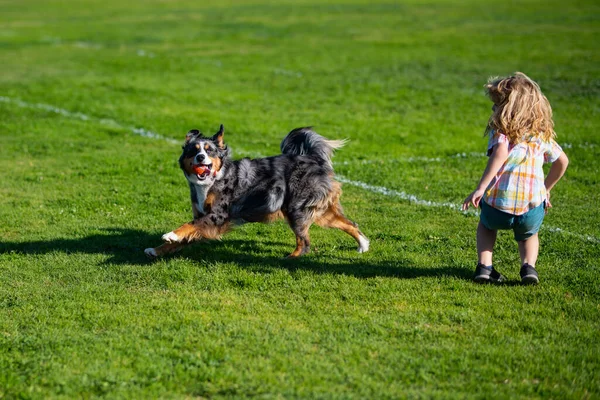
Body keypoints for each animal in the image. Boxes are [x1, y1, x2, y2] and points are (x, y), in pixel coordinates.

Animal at [145, 125, 370, 260]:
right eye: (193, 151)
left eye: (209, 151)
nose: (200, 158)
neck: (213, 180)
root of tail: (313, 158)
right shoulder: (205, 216)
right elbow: (186, 235)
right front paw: (156, 250)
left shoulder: (218, 215)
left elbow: (189, 226)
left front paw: (171, 234)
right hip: (318, 210)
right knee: (349, 223)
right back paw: (363, 245)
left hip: (296, 209)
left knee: (304, 242)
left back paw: (289, 259)